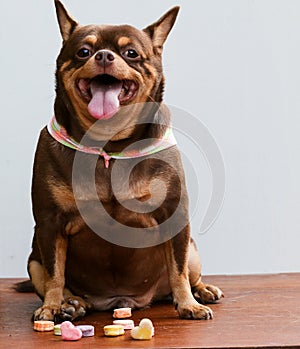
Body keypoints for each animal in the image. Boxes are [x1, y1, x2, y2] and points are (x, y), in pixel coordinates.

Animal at [26, 0, 223, 320]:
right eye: (83, 51)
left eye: (131, 53)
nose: (105, 55)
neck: (110, 142)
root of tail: (121, 300)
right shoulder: (49, 223)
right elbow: (55, 273)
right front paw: (52, 306)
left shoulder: (174, 216)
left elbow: (178, 269)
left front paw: (188, 304)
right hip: (33, 260)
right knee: (51, 276)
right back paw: (71, 305)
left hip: (193, 249)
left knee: (187, 271)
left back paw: (203, 290)